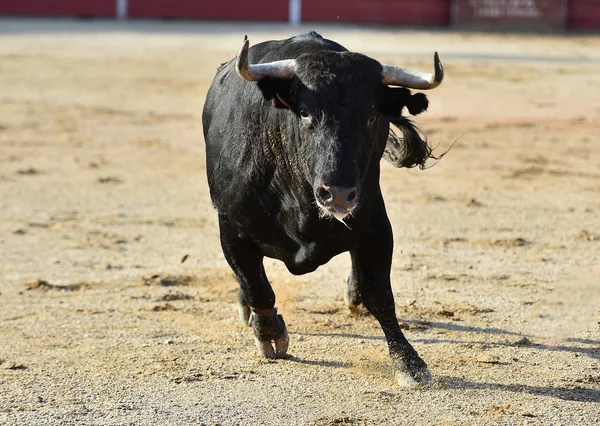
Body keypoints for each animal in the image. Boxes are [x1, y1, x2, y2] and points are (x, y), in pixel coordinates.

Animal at [204, 31, 442, 386]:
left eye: (371, 116)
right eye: (304, 112)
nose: (338, 194)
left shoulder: (375, 224)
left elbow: (381, 296)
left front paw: (410, 363)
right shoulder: (231, 227)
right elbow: (256, 287)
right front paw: (270, 334)